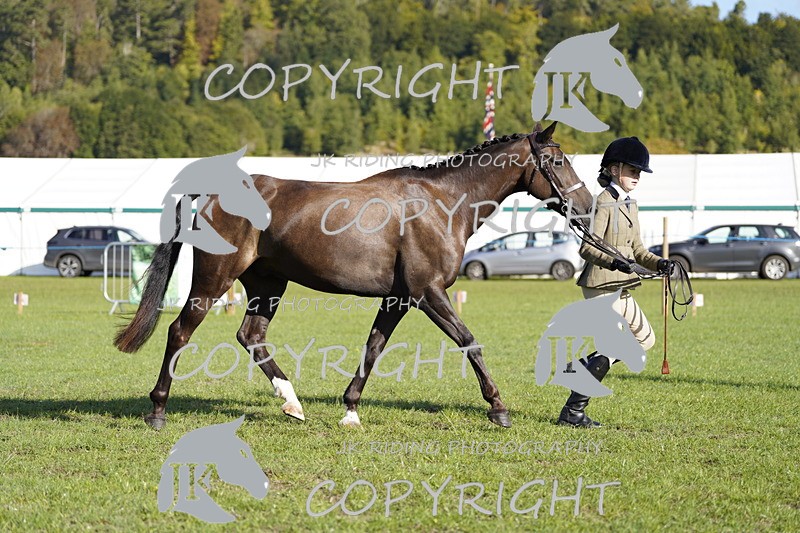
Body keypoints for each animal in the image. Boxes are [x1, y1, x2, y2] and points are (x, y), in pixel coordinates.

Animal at [114, 121, 594, 430]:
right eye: (557, 160)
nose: (588, 206)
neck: (443, 203)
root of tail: (214, 193)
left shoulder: (399, 299)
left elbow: (373, 348)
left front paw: (349, 410)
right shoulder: (429, 294)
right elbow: (469, 342)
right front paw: (497, 408)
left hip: (267, 284)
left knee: (250, 336)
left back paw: (292, 404)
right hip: (214, 281)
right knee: (179, 331)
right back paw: (157, 411)